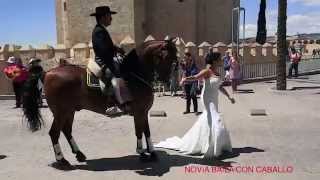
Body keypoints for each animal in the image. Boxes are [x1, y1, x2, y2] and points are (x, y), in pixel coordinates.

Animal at [22, 39, 178, 166]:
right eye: (167, 56)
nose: (165, 79)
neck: (134, 75)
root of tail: (47, 73)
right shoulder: (139, 112)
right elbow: (139, 131)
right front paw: (142, 152)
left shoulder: (143, 112)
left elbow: (146, 131)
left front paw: (151, 152)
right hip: (61, 112)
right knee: (54, 133)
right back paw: (62, 160)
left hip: (69, 111)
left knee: (66, 130)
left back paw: (79, 154)